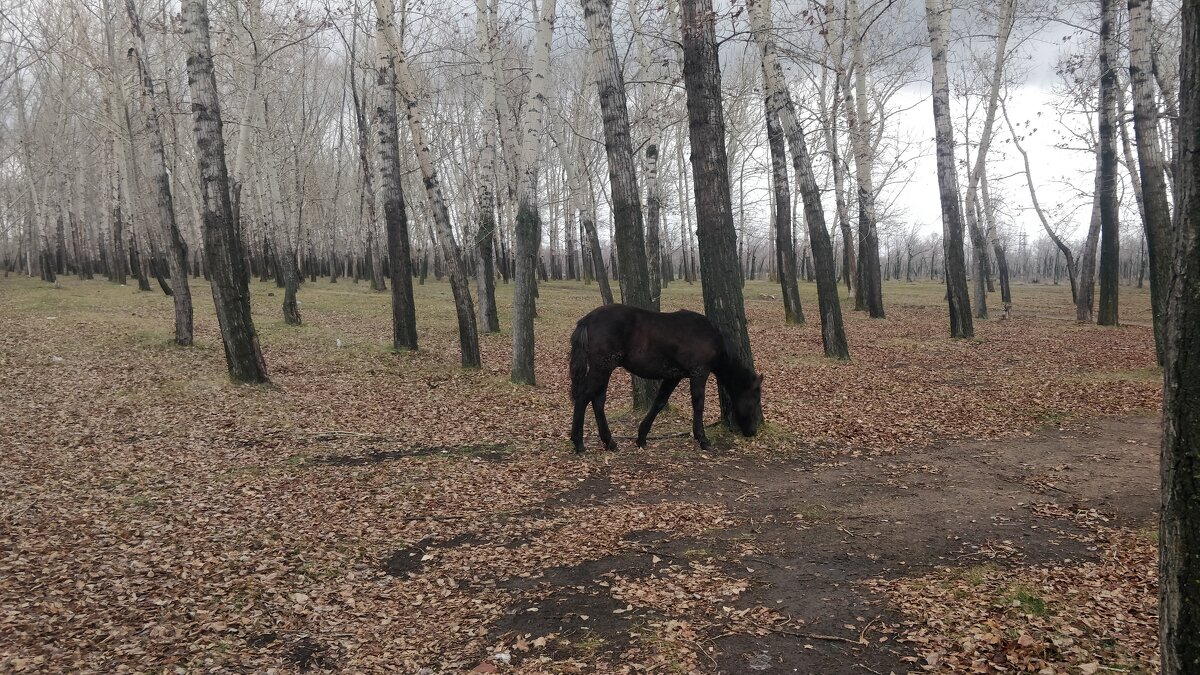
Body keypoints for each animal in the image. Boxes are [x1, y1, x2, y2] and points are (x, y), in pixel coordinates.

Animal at [568, 303, 758, 451]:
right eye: (754, 400)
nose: (752, 431)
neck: (710, 336)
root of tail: (587, 320)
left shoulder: (673, 377)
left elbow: (659, 402)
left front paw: (641, 437)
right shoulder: (699, 373)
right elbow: (698, 404)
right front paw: (702, 439)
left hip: (604, 370)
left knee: (597, 400)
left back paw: (610, 443)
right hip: (601, 368)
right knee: (584, 398)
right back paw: (579, 444)